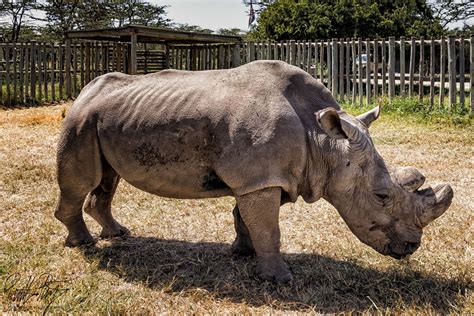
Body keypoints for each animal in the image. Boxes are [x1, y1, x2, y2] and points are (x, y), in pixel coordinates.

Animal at [57, 59, 454, 282]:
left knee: (107, 179)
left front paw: (243, 254)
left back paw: (117, 233)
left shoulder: (265, 177)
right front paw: (280, 280)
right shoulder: (259, 179)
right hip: (80, 121)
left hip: (105, 120)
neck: (324, 141)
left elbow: (248, 220)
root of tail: (85, 90)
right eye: (382, 196)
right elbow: (269, 229)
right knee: (83, 181)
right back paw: (84, 244)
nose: (411, 248)